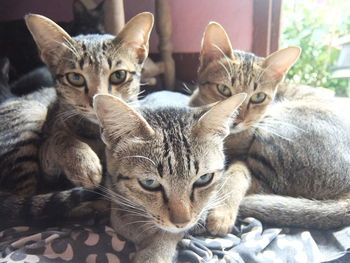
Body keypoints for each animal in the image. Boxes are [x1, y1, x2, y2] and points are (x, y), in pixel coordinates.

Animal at [24, 12, 154, 191]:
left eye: (118, 75)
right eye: (75, 78)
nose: (96, 99)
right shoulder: (45, 172)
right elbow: (59, 137)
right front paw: (82, 162)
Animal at [189, 21, 350, 234]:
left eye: (258, 97)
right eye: (224, 89)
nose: (237, 120)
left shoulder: (243, 159)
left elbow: (234, 176)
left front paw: (221, 212)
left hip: (276, 132)